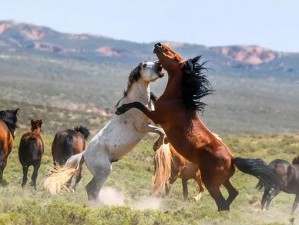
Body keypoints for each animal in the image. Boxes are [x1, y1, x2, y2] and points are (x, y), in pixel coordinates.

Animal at [44, 59, 165, 200]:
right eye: (144, 65)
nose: (159, 64)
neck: (137, 100)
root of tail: (84, 154)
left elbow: (161, 131)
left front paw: (157, 145)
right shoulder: (143, 127)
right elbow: (160, 131)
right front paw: (157, 145)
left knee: (89, 188)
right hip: (104, 171)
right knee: (92, 189)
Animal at [116, 43, 282, 212]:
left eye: (174, 57)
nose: (159, 45)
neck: (178, 101)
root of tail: (232, 159)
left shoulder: (156, 116)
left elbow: (138, 104)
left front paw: (121, 109)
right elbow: (151, 98)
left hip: (210, 182)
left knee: (222, 202)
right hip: (222, 181)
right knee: (233, 193)